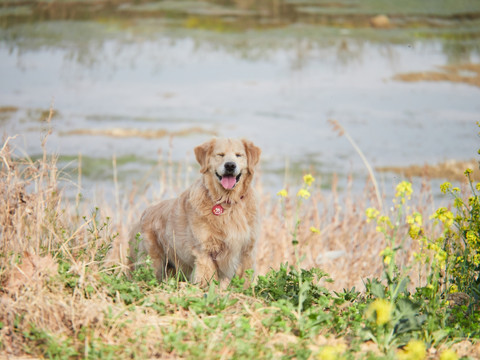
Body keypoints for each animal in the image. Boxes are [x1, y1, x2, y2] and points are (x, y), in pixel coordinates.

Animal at [129, 138, 260, 286]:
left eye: (239, 155)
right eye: (220, 155)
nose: (230, 165)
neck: (227, 202)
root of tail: (146, 211)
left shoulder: (247, 251)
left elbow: (245, 279)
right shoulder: (204, 252)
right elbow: (207, 279)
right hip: (153, 262)